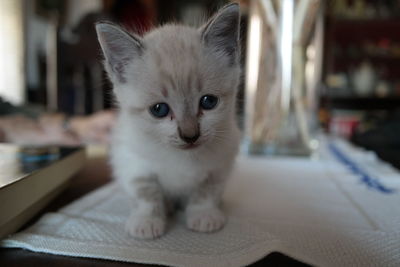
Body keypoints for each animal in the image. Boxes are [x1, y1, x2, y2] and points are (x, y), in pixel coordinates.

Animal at [97, 3, 241, 240]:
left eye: (208, 102)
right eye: (159, 110)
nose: (190, 135)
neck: (182, 158)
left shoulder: (221, 161)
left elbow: (206, 191)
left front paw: (204, 215)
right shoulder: (131, 160)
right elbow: (146, 193)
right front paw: (147, 221)